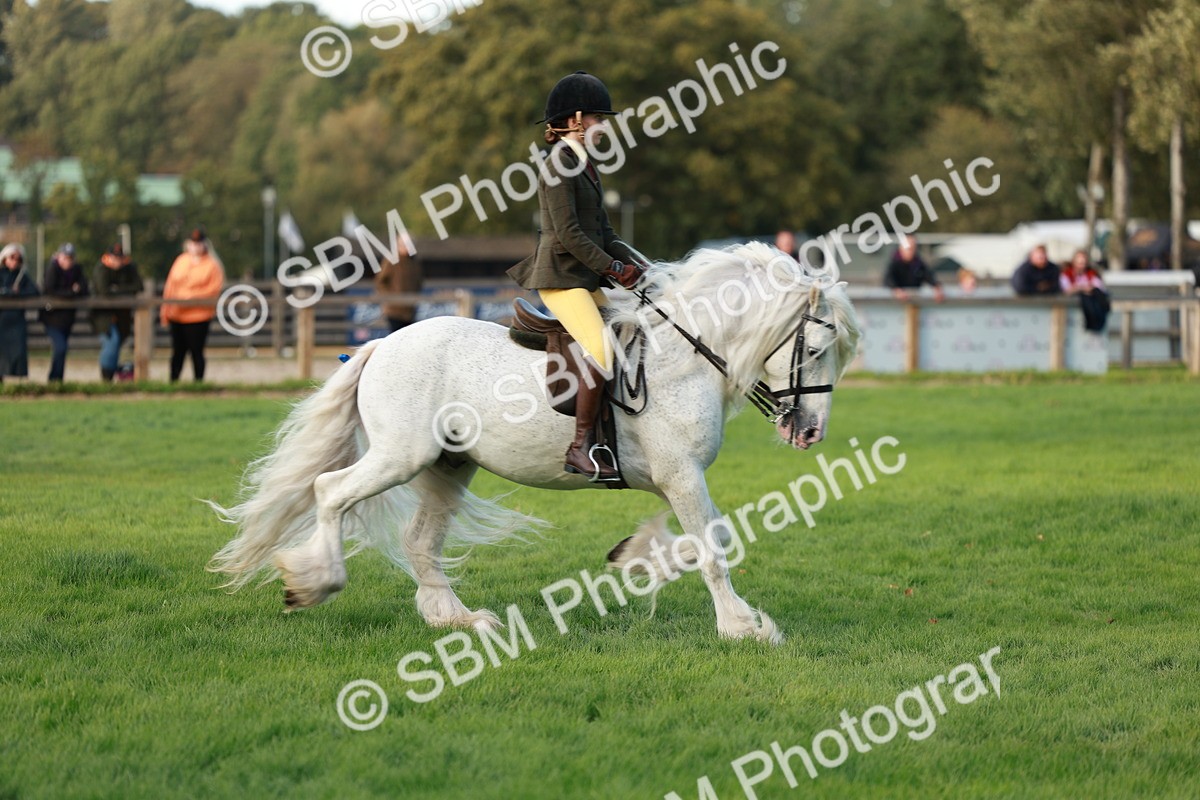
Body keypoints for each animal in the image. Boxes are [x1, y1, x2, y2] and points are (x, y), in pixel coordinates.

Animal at [208, 242, 861, 644]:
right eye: (816, 346)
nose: (810, 432)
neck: (683, 356)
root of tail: (382, 344)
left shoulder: (671, 481)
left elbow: (688, 542)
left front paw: (637, 558)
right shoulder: (682, 475)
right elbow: (713, 546)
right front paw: (742, 627)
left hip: (448, 467)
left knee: (419, 541)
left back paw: (458, 620)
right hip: (401, 457)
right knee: (329, 491)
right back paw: (314, 583)